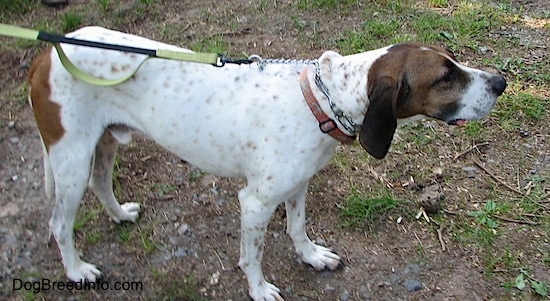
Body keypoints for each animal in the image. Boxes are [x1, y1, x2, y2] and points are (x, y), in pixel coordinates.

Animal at [27, 27, 508, 298]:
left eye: (453, 63)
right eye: (445, 77)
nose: (501, 82)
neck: (321, 100)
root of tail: (46, 53)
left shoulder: (297, 186)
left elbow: (297, 228)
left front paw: (310, 257)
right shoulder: (255, 202)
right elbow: (252, 257)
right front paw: (259, 291)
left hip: (103, 143)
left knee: (101, 183)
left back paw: (119, 215)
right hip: (69, 160)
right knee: (58, 224)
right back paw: (76, 270)